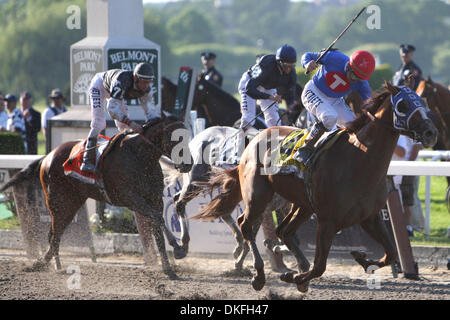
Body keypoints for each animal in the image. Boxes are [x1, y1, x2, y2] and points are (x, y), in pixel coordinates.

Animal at [0, 114, 192, 278]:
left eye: (188, 136)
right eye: (176, 137)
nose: (188, 164)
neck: (140, 157)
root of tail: (48, 156)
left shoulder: (154, 199)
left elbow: (157, 227)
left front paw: (168, 268)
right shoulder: (131, 197)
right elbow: (158, 219)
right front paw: (178, 249)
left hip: (72, 203)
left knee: (56, 233)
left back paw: (54, 264)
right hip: (57, 201)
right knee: (54, 234)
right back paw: (42, 263)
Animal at [192, 80, 436, 292]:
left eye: (423, 103)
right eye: (403, 105)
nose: (430, 132)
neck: (359, 159)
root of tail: (255, 137)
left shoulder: (369, 217)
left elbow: (391, 253)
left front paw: (362, 259)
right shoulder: (328, 220)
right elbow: (320, 266)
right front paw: (296, 277)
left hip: (303, 204)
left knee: (284, 231)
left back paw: (296, 266)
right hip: (258, 195)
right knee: (246, 225)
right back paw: (259, 275)